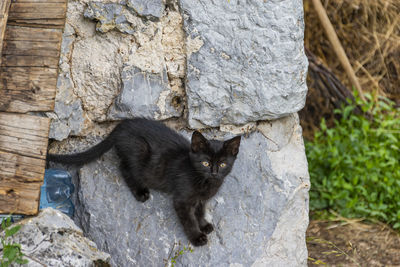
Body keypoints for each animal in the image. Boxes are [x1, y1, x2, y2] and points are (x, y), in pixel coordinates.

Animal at [47, 118, 241, 248]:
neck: (205, 182)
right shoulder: (182, 200)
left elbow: (200, 212)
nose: (214, 172)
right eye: (205, 163)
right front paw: (196, 237)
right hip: (138, 151)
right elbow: (189, 219)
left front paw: (204, 225)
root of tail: (120, 126)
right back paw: (141, 192)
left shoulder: (201, 199)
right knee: (124, 168)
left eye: (223, 164)